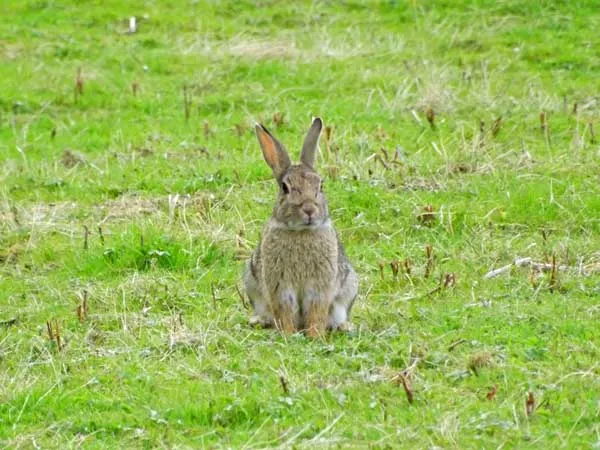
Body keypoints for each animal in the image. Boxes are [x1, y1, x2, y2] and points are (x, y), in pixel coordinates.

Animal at [243, 118, 358, 336]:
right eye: (285, 187)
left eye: (321, 186)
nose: (309, 209)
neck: (301, 232)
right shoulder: (280, 286)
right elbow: (285, 310)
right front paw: (288, 334)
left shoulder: (320, 286)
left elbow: (316, 311)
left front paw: (315, 336)